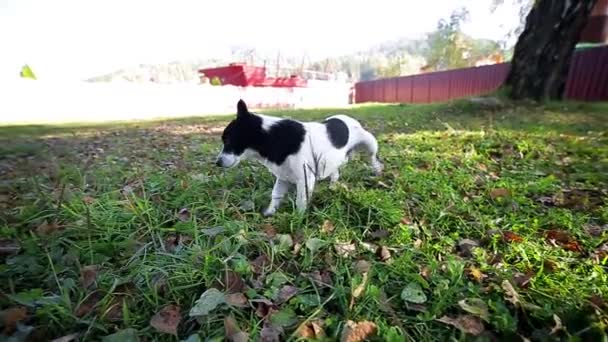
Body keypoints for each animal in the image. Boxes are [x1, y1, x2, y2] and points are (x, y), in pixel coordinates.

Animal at [216, 99, 382, 216]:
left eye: (228, 140)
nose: (217, 163)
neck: (272, 136)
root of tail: (347, 118)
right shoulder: (282, 178)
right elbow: (276, 195)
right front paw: (270, 212)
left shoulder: (305, 179)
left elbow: (300, 200)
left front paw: (299, 218)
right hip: (333, 161)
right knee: (335, 173)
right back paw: (333, 186)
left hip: (370, 143)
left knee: (373, 158)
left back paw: (377, 171)